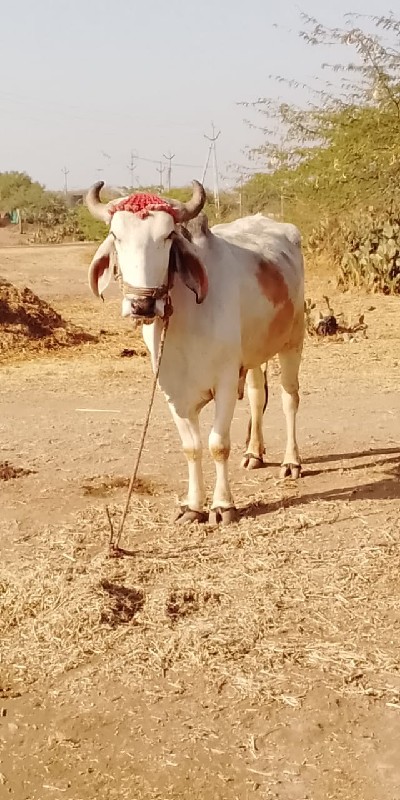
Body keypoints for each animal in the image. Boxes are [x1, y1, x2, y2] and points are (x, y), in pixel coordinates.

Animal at [86, 181, 304, 524]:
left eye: (167, 236)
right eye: (116, 235)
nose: (142, 305)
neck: (185, 322)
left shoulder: (225, 381)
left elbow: (218, 445)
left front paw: (223, 506)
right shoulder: (172, 388)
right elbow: (192, 447)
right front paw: (193, 506)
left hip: (293, 340)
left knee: (289, 399)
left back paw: (291, 461)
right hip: (255, 353)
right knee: (257, 396)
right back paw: (253, 453)